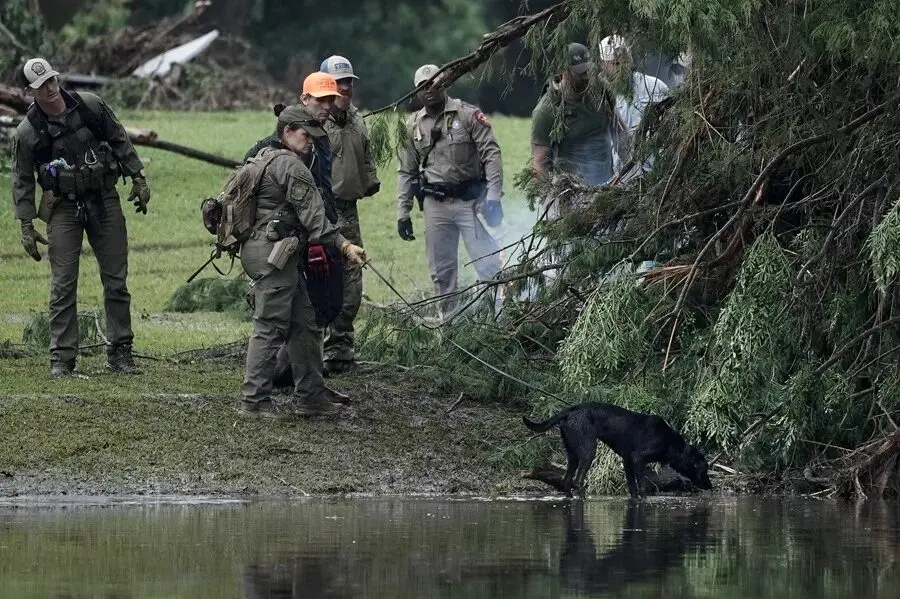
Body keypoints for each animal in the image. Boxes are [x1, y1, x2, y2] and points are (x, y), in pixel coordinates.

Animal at [523, 402, 712, 497]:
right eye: (704, 470)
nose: (710, 486)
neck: (670, 443)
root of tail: (570, 410)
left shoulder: (627, 460)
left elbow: (632, 487)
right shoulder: (637, 458)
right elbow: (642, 486)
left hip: (572, 452)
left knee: (567, 480)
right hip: (588, 450)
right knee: (578, 480)